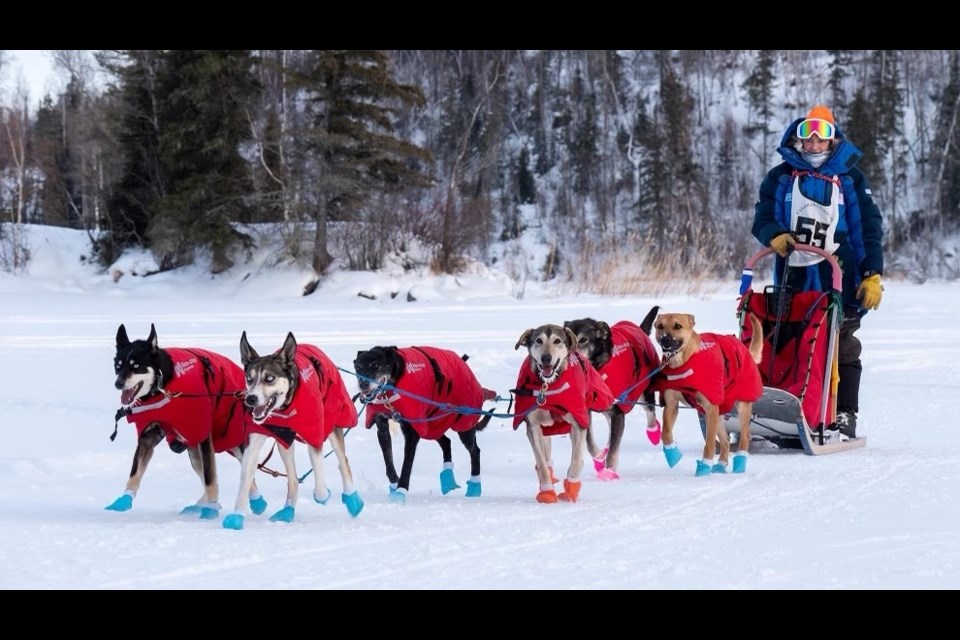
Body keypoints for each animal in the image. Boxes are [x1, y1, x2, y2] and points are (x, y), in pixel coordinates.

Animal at [652, 312, 764, 478]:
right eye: (660, 326)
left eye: (677, 326)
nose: (665, 339)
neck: (684, 361)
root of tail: (746, 351)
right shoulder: (671, 405)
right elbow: (665, 433)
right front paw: (673, 454)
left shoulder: (710, 407)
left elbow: (710, 443)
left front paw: (704, 466)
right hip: (716, 414)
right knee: (725, 441)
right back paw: (721, 465)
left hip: (740, 407)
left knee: (745, 437)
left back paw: (739, 463)